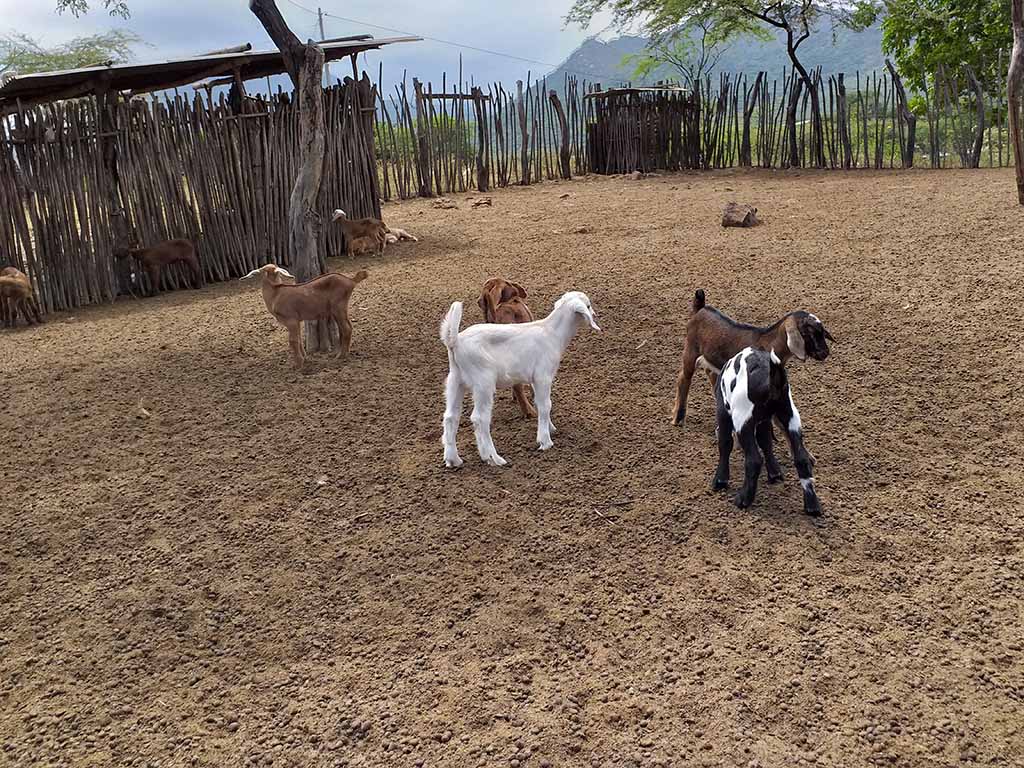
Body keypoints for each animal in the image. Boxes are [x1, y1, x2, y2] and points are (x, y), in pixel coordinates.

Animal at [239, 266, 368, 370]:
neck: (275, 294)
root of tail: (350, 280)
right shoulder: (297, 321)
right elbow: (299, 338)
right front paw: (304, 358)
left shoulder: (290, 320)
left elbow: (293, 341)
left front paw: (298, 364)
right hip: (339, 309)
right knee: (347, 327)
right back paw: (345, 352)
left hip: (338, 307)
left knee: (346, 328)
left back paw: (341, 356)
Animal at [712, 348, 823, 518]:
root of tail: (772, 377)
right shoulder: (764, 420)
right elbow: (766, 441)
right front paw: (775, 473)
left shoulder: (723, 412)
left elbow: (725, 443)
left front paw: (720, 480)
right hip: (790, 417)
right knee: (801, 459)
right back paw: (812, 506)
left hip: (742, 419)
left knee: (754, 460)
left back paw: (743, 499)